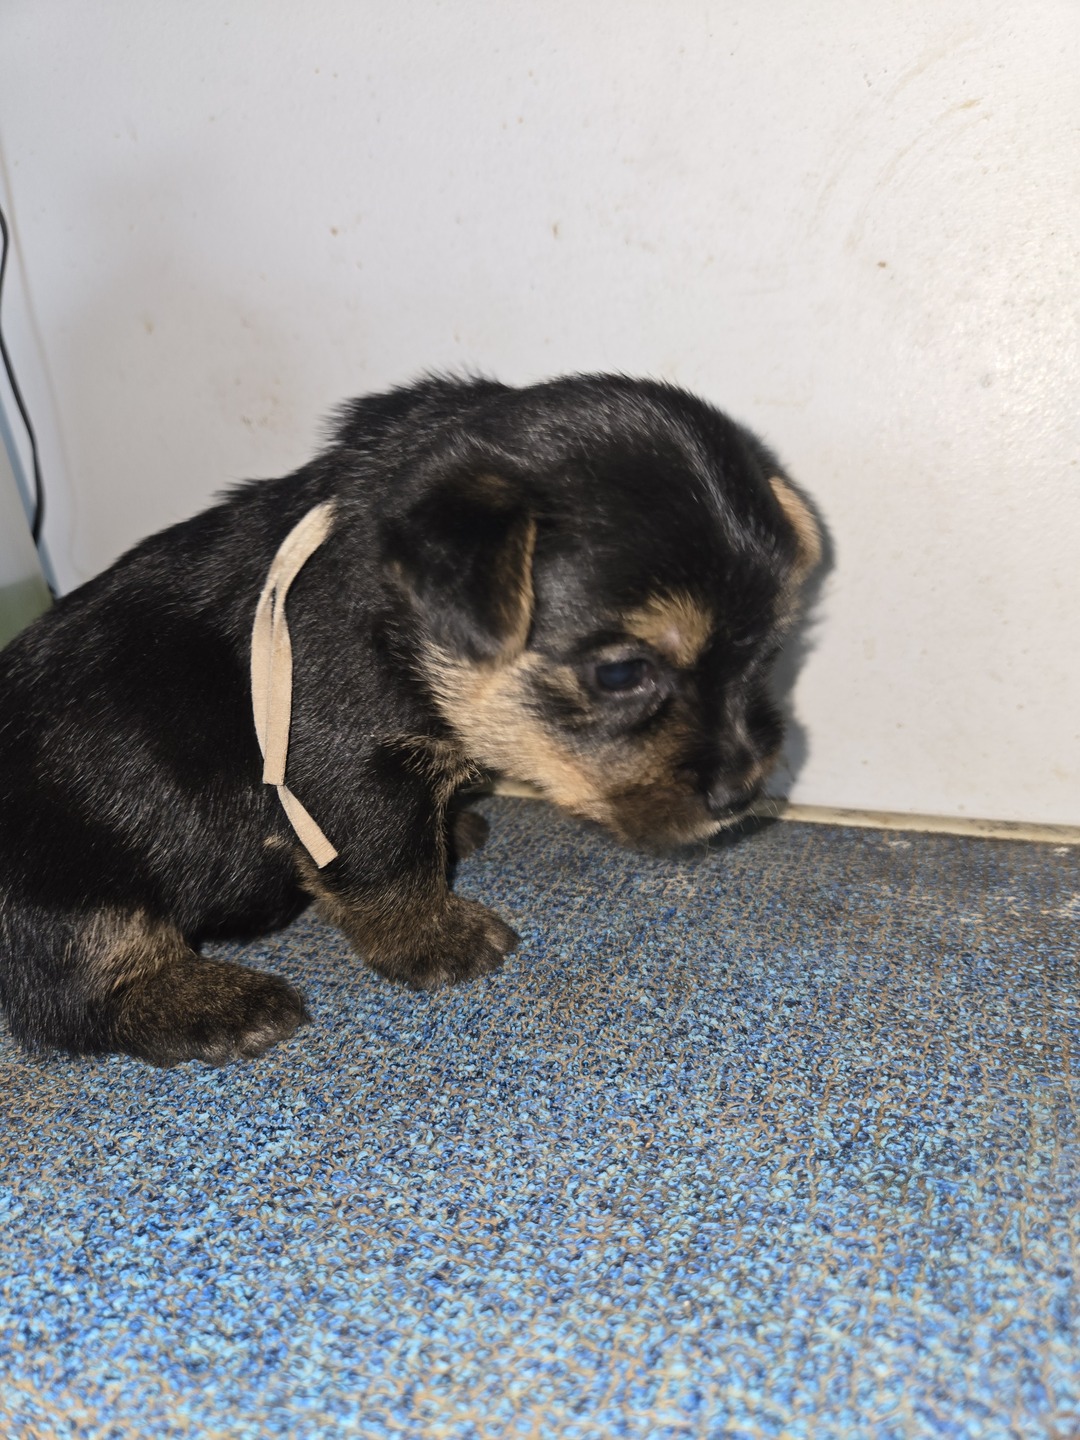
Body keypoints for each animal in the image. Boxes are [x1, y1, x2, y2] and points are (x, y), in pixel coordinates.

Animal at [0, 374, 820, 1066]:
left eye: (770, 652)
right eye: (621, 673)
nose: (744, 792)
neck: (402, 623)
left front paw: (451, 830)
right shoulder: (344, 765)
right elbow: (390, 860)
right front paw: (435, 937)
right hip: (67, 883)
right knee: (75, 985)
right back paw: (217, 1003)